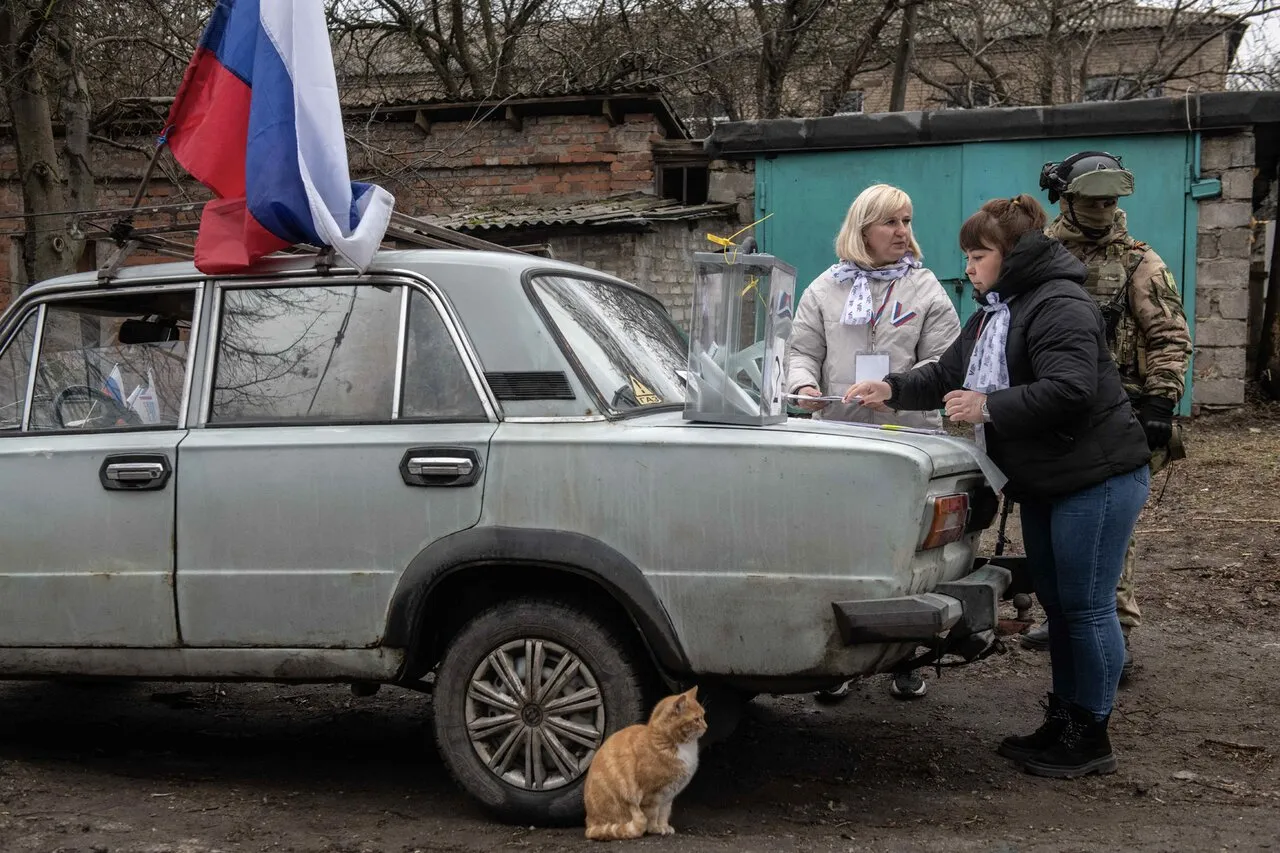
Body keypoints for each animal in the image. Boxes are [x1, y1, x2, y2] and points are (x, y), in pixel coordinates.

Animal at [583, 686, 706, 835]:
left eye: (703, 716)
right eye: (697, 719)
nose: (706, 726)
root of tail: (589, 824)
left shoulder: (667, 797)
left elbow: (664, 814)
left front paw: (664, 826)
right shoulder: (652, 795)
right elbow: (652, 815)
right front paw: (655, 829)